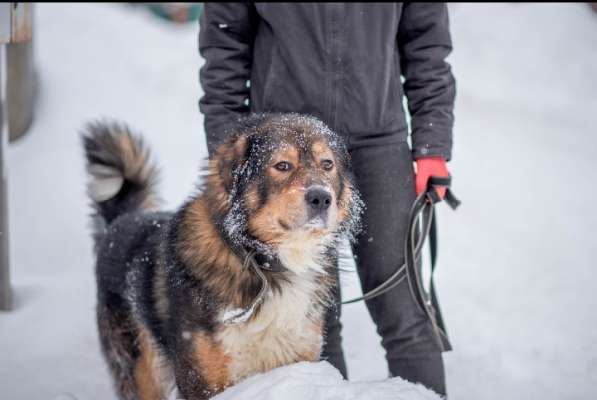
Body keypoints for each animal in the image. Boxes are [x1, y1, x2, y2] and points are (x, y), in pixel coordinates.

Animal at [82, 112, 364, 400]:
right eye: (282, 165)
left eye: (327, 164)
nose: (321, 198)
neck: (261, 260)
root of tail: (123, 219)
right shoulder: (203, 379)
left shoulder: (299, 358)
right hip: (142, 372)